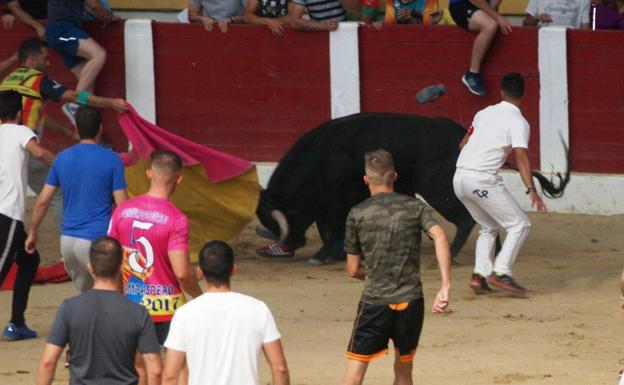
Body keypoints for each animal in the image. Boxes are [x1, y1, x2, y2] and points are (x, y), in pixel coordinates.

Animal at [256, 111, 568, 260]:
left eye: (282, 219)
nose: (286, 245)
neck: (318, 158)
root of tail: (458, 133)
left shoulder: (334, 202)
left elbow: (330, 229)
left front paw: (324, 256)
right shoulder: (330, 203)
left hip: (439, 189)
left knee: (466, 220)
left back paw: (453, 254)